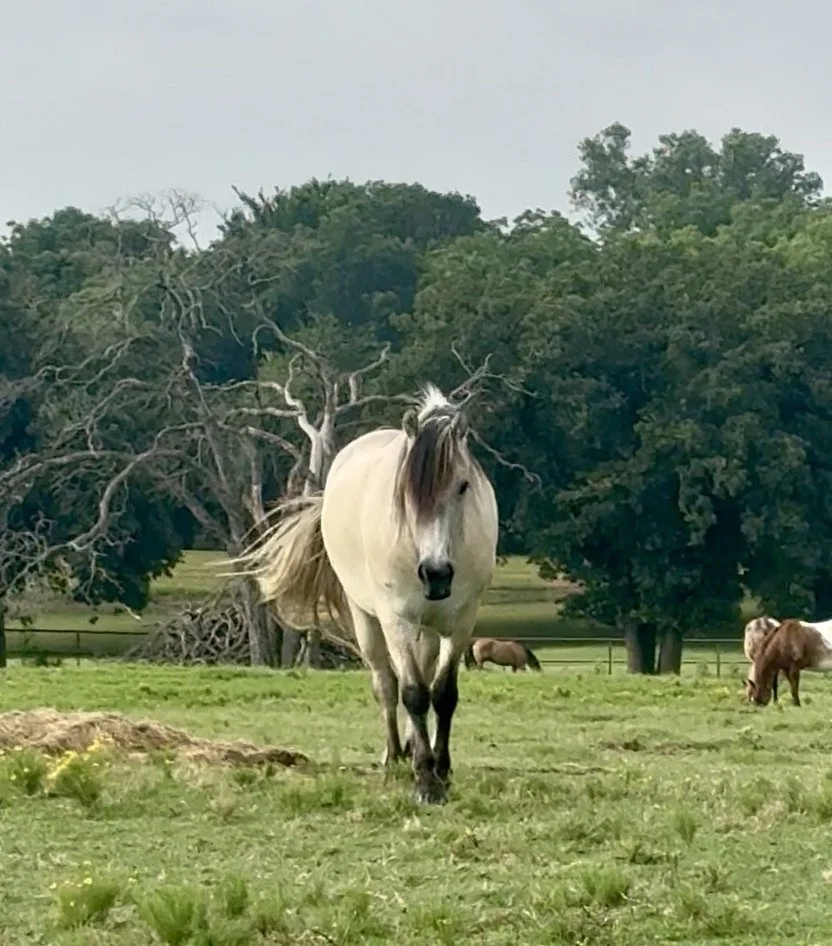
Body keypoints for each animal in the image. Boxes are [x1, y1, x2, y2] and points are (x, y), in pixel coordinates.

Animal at [231, 384, 499, 804]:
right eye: (406, 492)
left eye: (463, 485)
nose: (436, 573)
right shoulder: (395, 618)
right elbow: (413, 693)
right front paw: (426, 781)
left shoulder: (461, 621)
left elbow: (442, 694)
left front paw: (442, 769)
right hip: (368, 621)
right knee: (386, 684)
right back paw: (394, 755)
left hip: (427, 628)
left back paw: (411, 746)